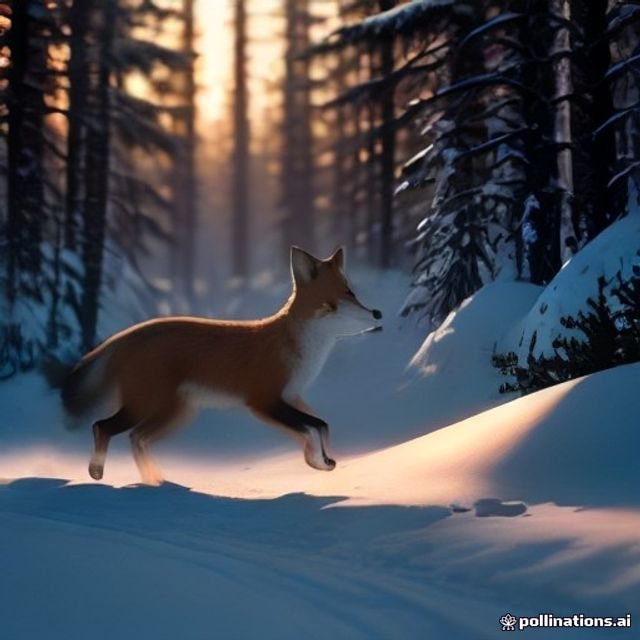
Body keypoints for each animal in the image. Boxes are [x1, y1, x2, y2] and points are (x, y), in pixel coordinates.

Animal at [62, 246, 382, 485]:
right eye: (346, 296)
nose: (377, 313)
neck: (296, 350)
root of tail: (127, 335)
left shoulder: (291, 397)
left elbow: (320, 425)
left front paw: (318, 461)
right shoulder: (264, 402)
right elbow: (314, 427)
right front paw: (318, 460)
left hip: (176, 413)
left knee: (135, 438)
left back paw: (155, 481)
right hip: (147, 406)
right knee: (101, 427)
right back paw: (97, 472)